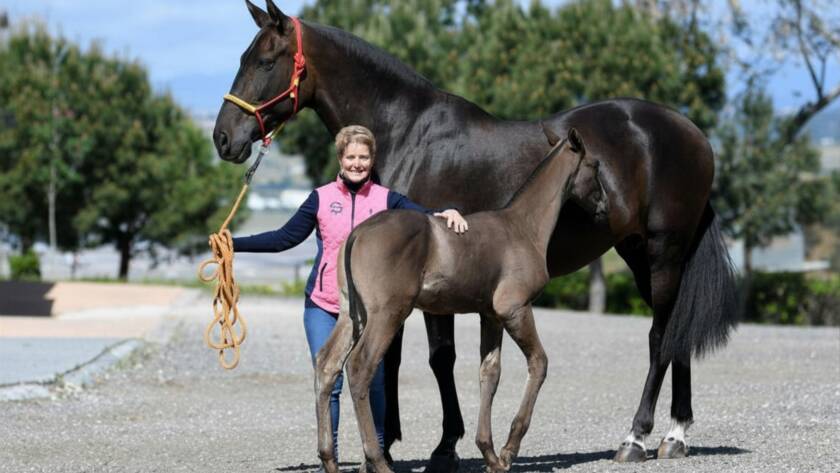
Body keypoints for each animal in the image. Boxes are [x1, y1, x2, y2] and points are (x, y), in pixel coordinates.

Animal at [316, 127, 586, 473]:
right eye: (595, 166)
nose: (605, 202)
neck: (523, 227)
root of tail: (357, 233)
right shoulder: (515, 309)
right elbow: (538, 363)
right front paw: (508, 451)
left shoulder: (491, 316)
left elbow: (490, 373)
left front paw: (490, 454)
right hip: (387, 314)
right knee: (360, 367)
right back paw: (377, 460)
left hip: (353, 316)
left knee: (327, 364)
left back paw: (329, 458)